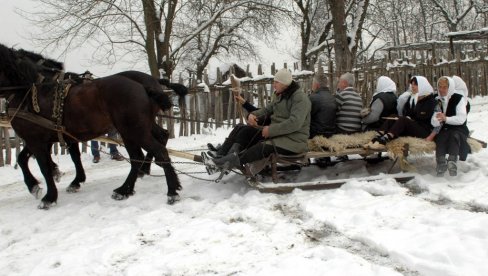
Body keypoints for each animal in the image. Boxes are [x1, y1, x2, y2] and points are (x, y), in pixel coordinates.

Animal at [0, 43, 183, 207]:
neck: (30, 90)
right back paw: (127, 187)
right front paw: (66, 179)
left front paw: (48, 196)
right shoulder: (54, 136)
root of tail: (144, 85)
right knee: (152, 145)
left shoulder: (36, 140)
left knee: (157, 151)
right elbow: (33, 158)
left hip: (133, 130)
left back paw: (170, 191)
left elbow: (42, 166)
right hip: (136, 128)